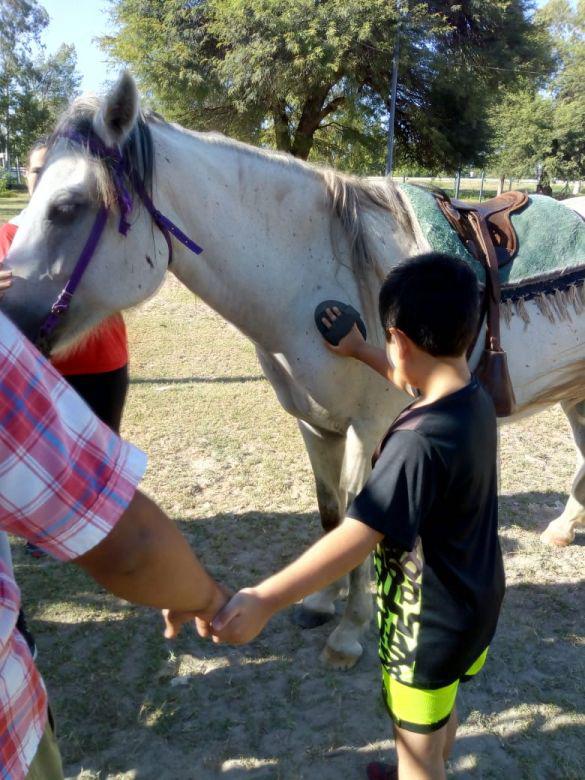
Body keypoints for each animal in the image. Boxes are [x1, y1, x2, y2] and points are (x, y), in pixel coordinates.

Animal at [3, 74, 584, 669]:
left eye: (67, 206)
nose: (10, 320)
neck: (317, 278)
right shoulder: (315, 424)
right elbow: (330, 514)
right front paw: (322, 604)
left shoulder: (369, 429)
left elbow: (359, 517)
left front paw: (349, 632)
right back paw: (562, 530)